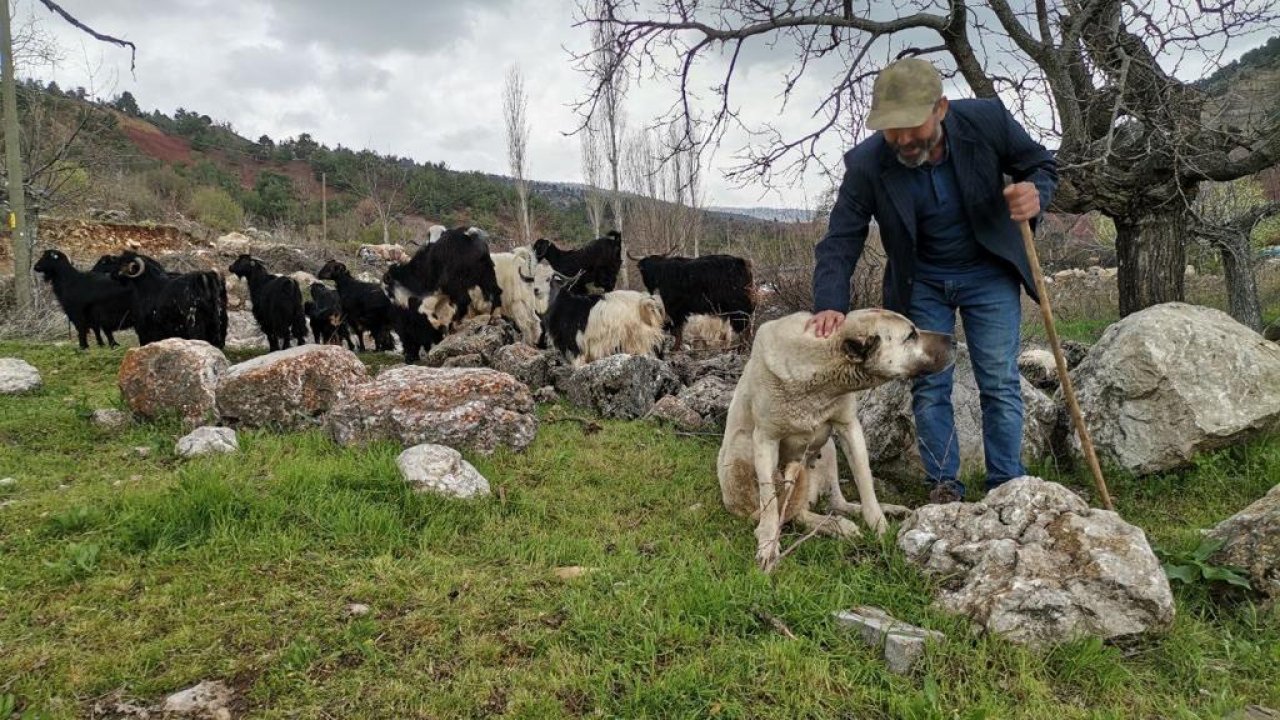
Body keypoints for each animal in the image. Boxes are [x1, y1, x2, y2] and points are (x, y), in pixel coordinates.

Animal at [721, 304, 952, 568]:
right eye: (910, 335)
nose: (953, 339)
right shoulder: (765, 440)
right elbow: (770, 503)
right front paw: (768, 545)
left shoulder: (849, 427)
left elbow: (865, 482)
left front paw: (880, 526)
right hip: (743, 445)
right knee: (793, 512)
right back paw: (836, 526)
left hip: (828, 448)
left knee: (837, 504)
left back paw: (877, 512)